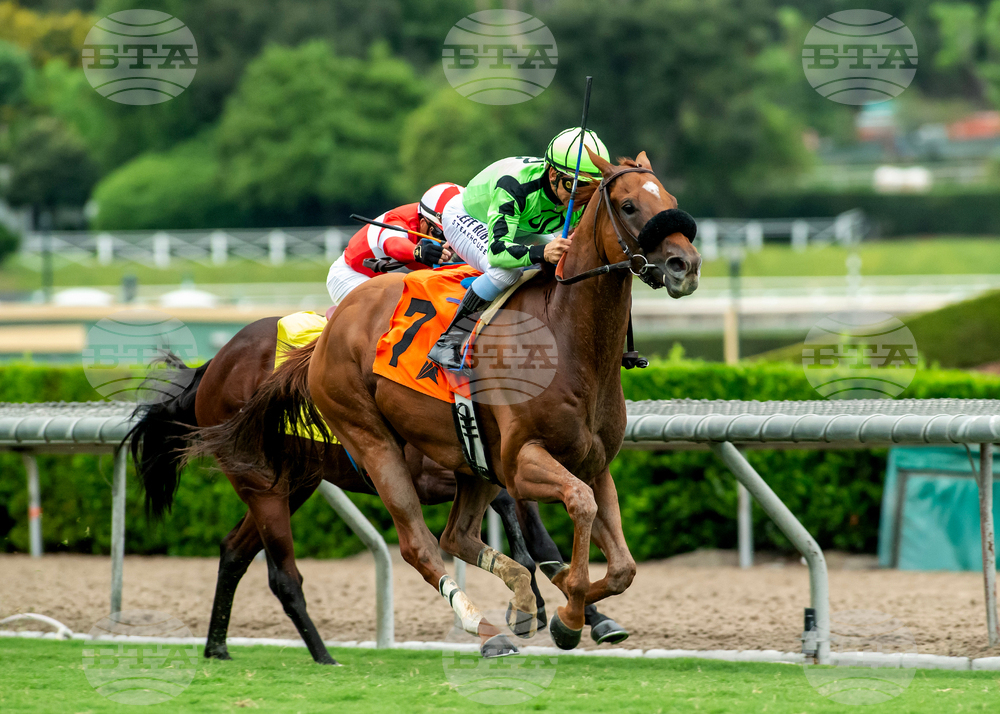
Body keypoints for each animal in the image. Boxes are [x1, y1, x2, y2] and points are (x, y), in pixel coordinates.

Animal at [131, 317, 627, 665]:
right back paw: (324, 656)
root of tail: (213, 364)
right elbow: (512, 512)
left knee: (234, 549)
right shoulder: (431, 473)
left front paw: (586, 613)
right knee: (282, 574)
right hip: (260, 480)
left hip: (296, 482)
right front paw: (538, 605)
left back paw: (217, 646)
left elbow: (535, 528)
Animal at [194, 150, 700, 656]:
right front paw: (567, 613)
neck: (566, 340)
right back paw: (482, 630)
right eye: (629, 206)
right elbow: (577, 508)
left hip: (434, 464)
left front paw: (568, 612)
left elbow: (620, 566)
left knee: (453, 535)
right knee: (415, 545)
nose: (686, 264)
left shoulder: (592, 463)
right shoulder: (521, 463)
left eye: (670, 198)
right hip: (353, 447)